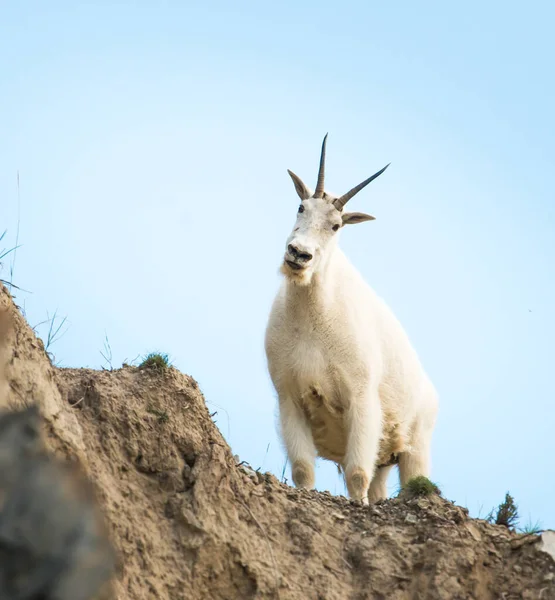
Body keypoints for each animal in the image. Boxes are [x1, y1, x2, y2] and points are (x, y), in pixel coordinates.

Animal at [264, 135, 438, 502]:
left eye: (336, 225)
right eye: (301, 207)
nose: (299, 254)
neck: (313, 318)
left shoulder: (361, 399)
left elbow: (357, 474)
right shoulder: (289, 396)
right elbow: (302, 469)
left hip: (416, 447)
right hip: (386, 459)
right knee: (380, 486)